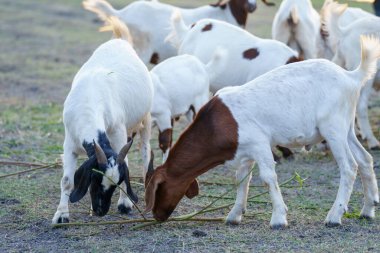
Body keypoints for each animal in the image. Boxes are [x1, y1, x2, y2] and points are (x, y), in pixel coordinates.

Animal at [52, 17, 153, 223]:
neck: (89, 103)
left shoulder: (118, 132)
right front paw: (61, 215)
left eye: (118, 183)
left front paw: (125, 203)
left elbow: (126, 161)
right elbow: (66, 181)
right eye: (94, 180)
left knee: (146, 151)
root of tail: (121, 40)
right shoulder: (70, 141)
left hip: (145, 118)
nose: (100, 210)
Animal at [145, 34, 380, 228]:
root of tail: (350, 76)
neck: (217, 122)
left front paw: (279, 218)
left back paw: (334, 216)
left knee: (349, 167)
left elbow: (268, 177)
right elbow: (241, 179)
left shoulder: (259, 144)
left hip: (333, 128)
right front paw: (234, 215)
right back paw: (368, 209)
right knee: (365, 159)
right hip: (346, 129)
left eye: (157, 190)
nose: (157, 215)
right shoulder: (245, 151)